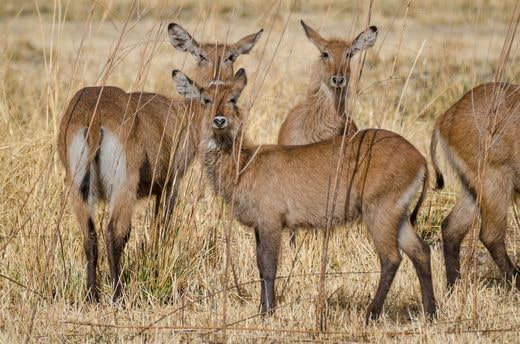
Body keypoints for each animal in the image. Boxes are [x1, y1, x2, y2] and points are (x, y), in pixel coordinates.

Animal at [58, 22, 264, 300]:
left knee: (90, 236)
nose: (219, 79)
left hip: (78, 188)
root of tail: (94, 114)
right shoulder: (171, 182)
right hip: (123, 186)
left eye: (231, 56)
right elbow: (162, 225)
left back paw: (92, 296)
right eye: (201, 55)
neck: (182, 110)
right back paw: (118, 296)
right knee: (114, 233)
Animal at [173, 68, 436, 322]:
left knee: (391, 257)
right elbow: (259, 266)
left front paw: (268, 312)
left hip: (380, 212)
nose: (219, 120)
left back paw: (371, 314)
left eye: (232, 98)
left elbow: (269, 266)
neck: (245, 164)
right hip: (398, 215)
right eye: (206, 99)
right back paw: (431, 312)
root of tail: (420, 158)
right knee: (420, 251)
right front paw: (261, 309)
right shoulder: (259, 225)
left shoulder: (271, 221)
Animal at [430, 82, 520, 288]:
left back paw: (453, 286)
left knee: (451, 228)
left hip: (472, 187)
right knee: (490, 235)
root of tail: (446, 117)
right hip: (494, 182)